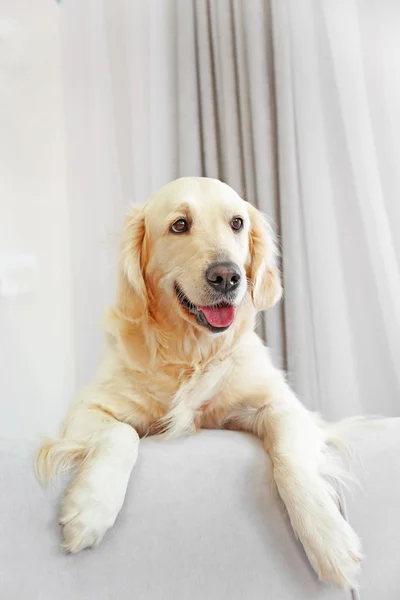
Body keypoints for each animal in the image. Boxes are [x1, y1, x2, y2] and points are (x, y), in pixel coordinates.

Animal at [36, 178, 362, 592]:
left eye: (237, 222)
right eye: (179, 225)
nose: (227, 276)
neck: (191, 352)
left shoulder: (283, 406)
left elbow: (290, 459)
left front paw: (330, 541)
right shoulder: (87, 409)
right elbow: (122, 434)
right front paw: (90, 509)